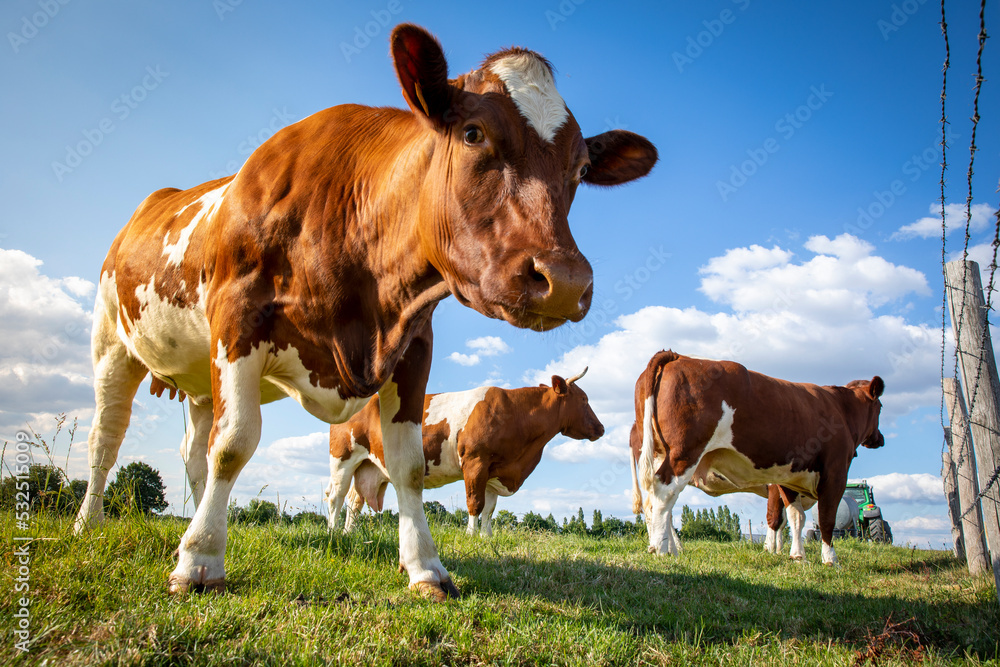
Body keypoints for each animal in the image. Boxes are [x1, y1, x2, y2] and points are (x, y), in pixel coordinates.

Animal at [324, 369, 604, 536]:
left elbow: (490, 508)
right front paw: (471, 535)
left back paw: (349, 532)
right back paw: (332, 531)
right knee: (336, 497)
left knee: (355, 501)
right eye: (584, 400)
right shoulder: (475, 462)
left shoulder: (494, 471)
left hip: (369, 466)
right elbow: (475, 503)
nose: (601, 428)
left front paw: (487, 537)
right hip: (342, 458)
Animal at [630, 350, 884, 565]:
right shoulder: (835, 473)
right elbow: (823, 518)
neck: (840, 409)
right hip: (684, 453)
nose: (880, 439)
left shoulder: (789, 477)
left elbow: (795, 517)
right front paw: (830, 560)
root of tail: (677, 356)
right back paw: (661, 549)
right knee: (663, 496)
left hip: (660, 454)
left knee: (657, 503)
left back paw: (669, 548)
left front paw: (797, 556)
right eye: (880, 408)